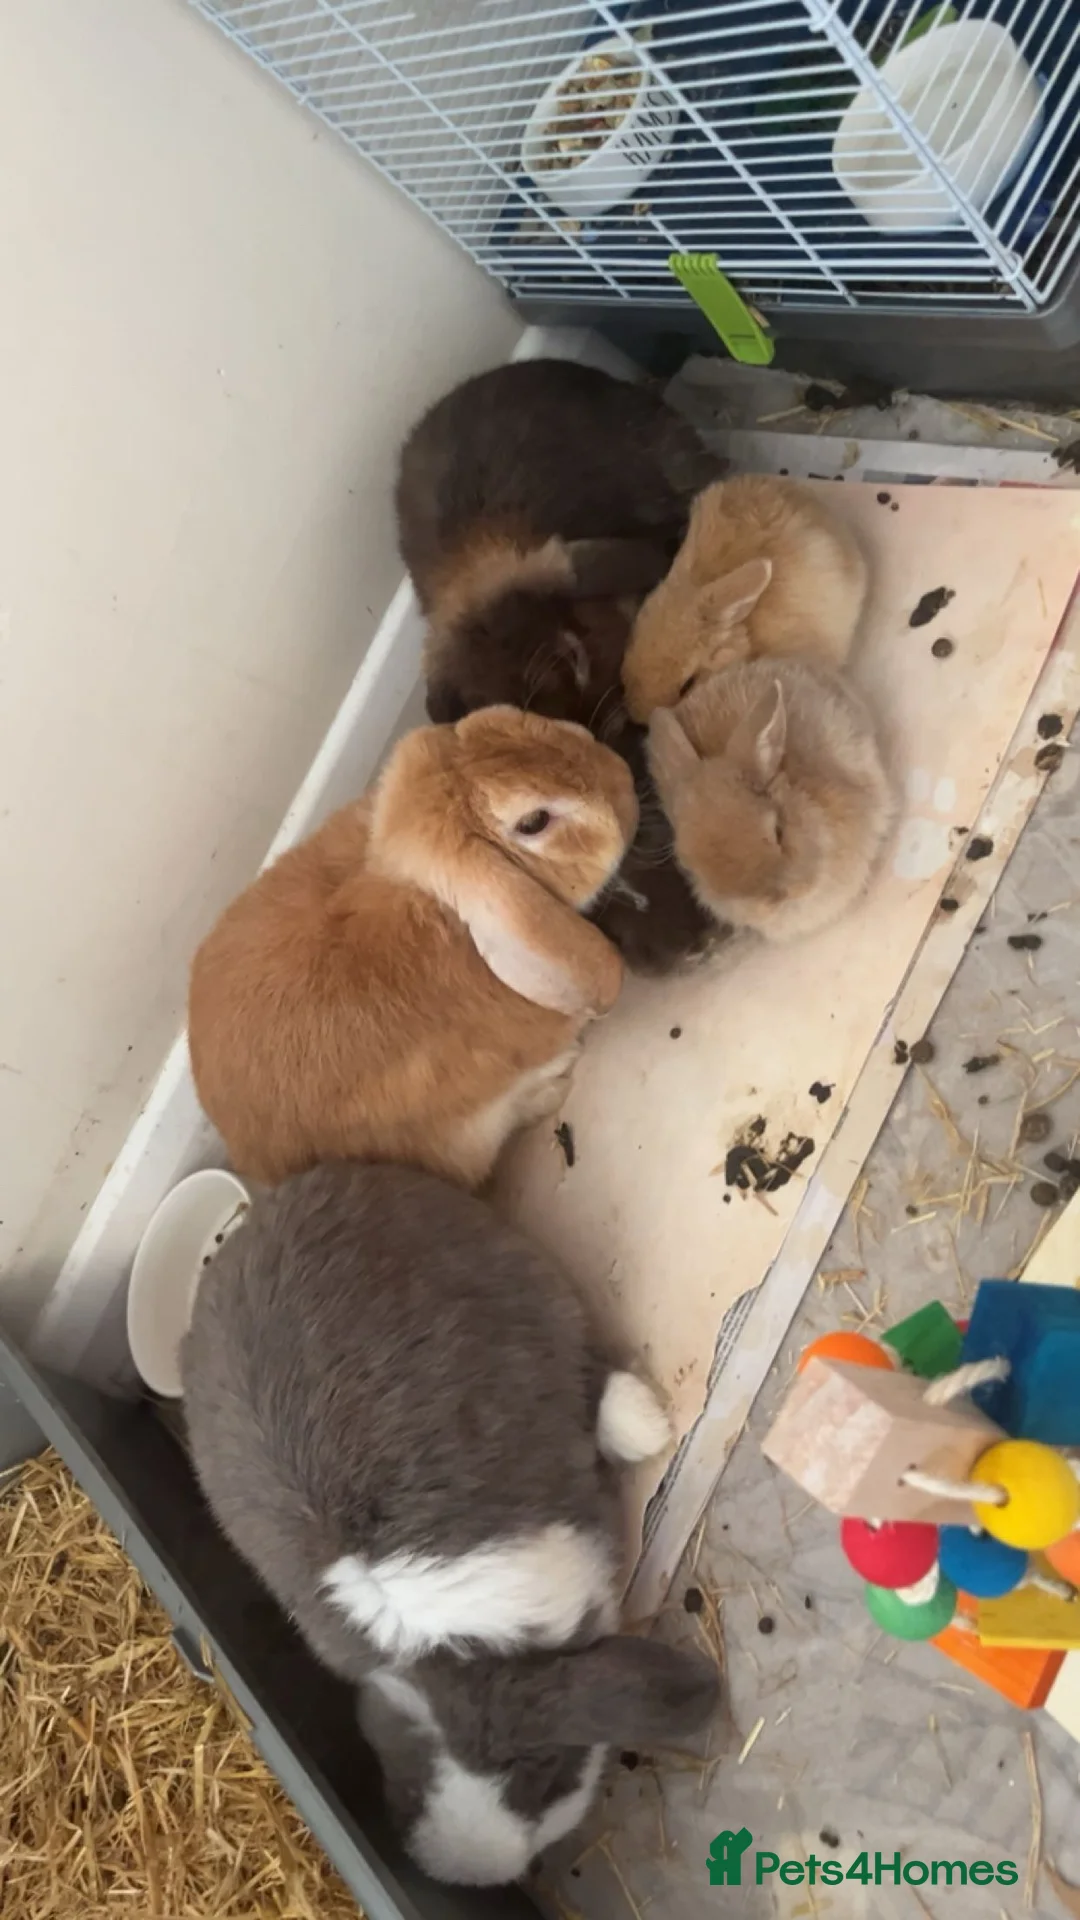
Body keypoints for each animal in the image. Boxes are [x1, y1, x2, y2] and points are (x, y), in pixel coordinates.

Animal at [181, 1161, 717, 1883]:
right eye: (403, 1777)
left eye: (541, 1773)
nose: (483, 1871)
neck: (458, 1653)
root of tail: (285, 1200)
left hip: (520, 1290)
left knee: (585, 1363)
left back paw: (643, 1425)